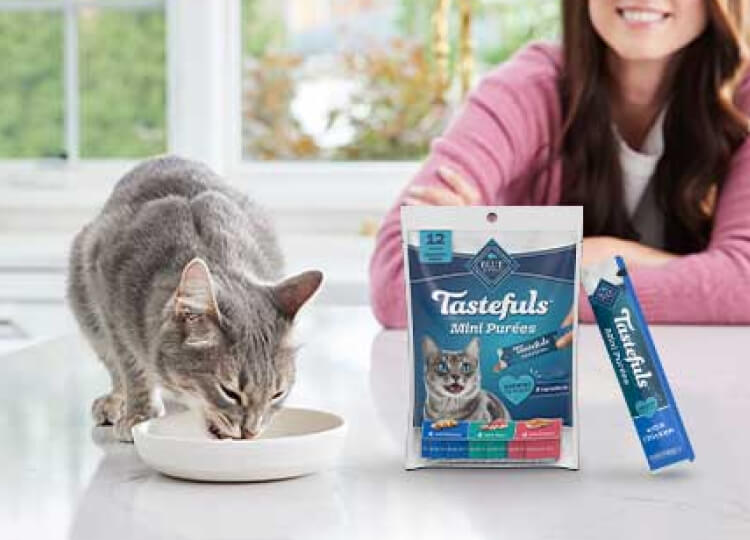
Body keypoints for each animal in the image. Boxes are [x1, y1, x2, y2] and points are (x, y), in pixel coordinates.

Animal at [66, 154, 322, 440]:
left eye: (277, 394)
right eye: (229, 392)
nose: (250, 433)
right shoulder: (109, 299)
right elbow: (131, 366)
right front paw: (140, 413)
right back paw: (115, 400)